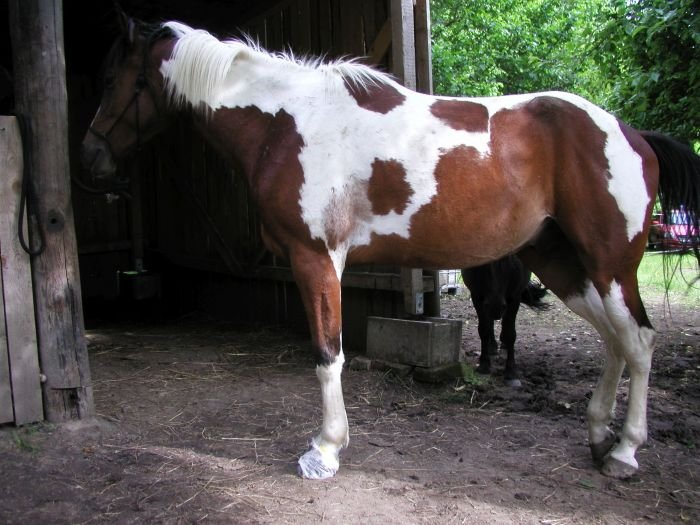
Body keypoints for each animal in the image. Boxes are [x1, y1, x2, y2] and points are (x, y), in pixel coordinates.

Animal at [462, 256, 548, 386]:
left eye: (509, 261)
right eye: (482, 264)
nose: (495, 307)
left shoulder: (515, 297)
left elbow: (510, 333)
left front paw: (511, 370)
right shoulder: (476, 296)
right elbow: (484, 330)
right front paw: (484, 364)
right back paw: (492, 346)